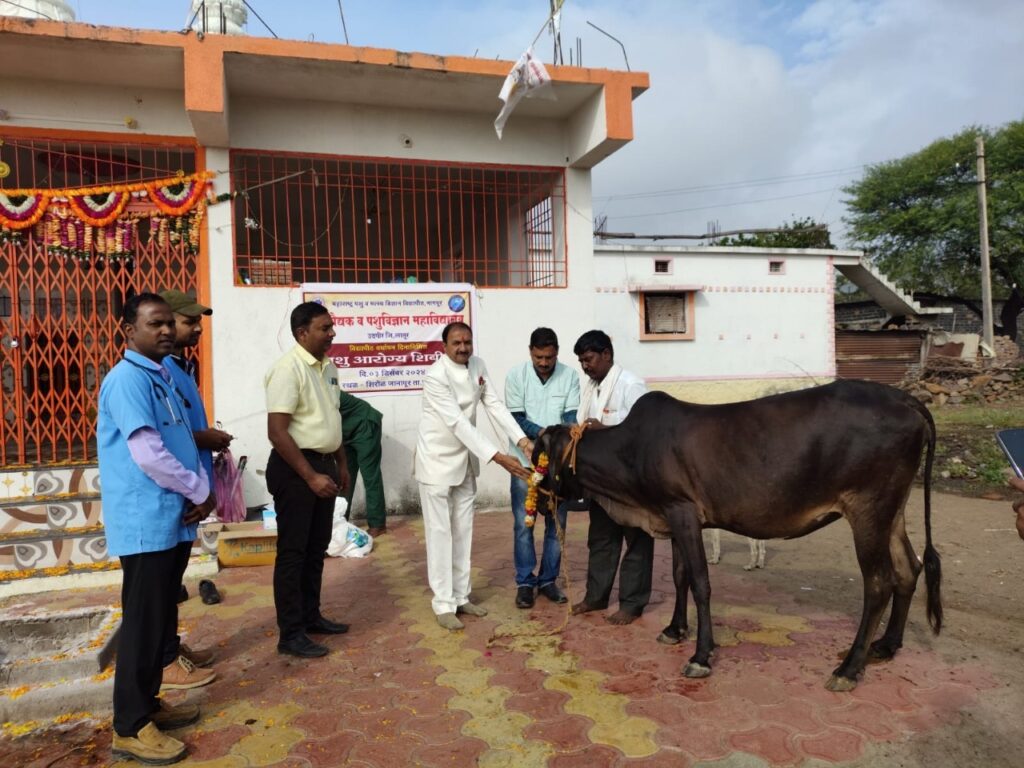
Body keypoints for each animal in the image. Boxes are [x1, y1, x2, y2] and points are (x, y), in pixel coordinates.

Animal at [536, 382, 942, 696]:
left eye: (539, 457)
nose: (539, 504)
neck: (631, 449)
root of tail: (904, 398)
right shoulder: (675, 516)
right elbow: (681, 576)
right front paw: (674, 630)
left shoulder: (682, 510)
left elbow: (701, 583)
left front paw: (701, 656)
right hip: (892, 511)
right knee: (909, 569)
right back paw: (886, 646)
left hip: (868, 510)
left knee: (879, 583)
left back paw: (848, 668)